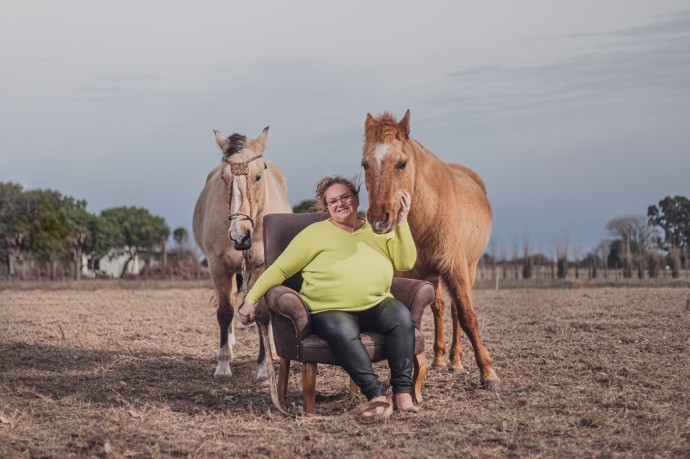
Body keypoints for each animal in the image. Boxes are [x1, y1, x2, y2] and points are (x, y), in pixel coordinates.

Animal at [192, 126, 292, 380]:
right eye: (224, 178)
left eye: (258, 177)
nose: (239, 236)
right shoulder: (218, 266)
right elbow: (225, 312)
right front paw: (223, 364)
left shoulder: (262, 267)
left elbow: (262, 314)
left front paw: (264, 366)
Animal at [360, 110, 500, 392]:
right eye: (365, 165)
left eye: (402, 164)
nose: (379, 219)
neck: (429, 212)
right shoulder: (412, 273)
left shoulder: (456, 268)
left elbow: (468, 316)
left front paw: (489, 374)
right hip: (432, 274)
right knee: (439, 307)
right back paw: (440, 358)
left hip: (469, 267)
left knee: (456, 311)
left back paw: (455, 360)